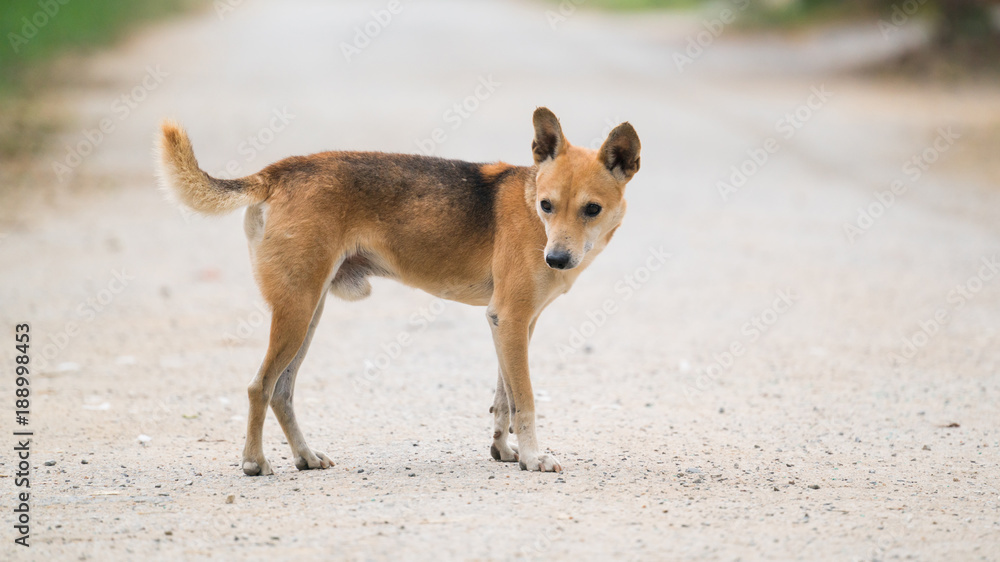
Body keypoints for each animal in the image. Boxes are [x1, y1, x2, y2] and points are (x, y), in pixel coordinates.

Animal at [156, 108, 640, 472]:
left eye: (591, 210)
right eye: (546, 205)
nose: (555, 259)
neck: (529, 206)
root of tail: (277, 171)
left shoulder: (512, 325)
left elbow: (503, 398)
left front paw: (505, 450)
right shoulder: (512, 320)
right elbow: (525, 401)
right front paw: (535, 457)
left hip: (308, 313)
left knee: (281, 391)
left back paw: (305, 456)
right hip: (296, 312)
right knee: (260, 386)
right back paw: (254, 462)